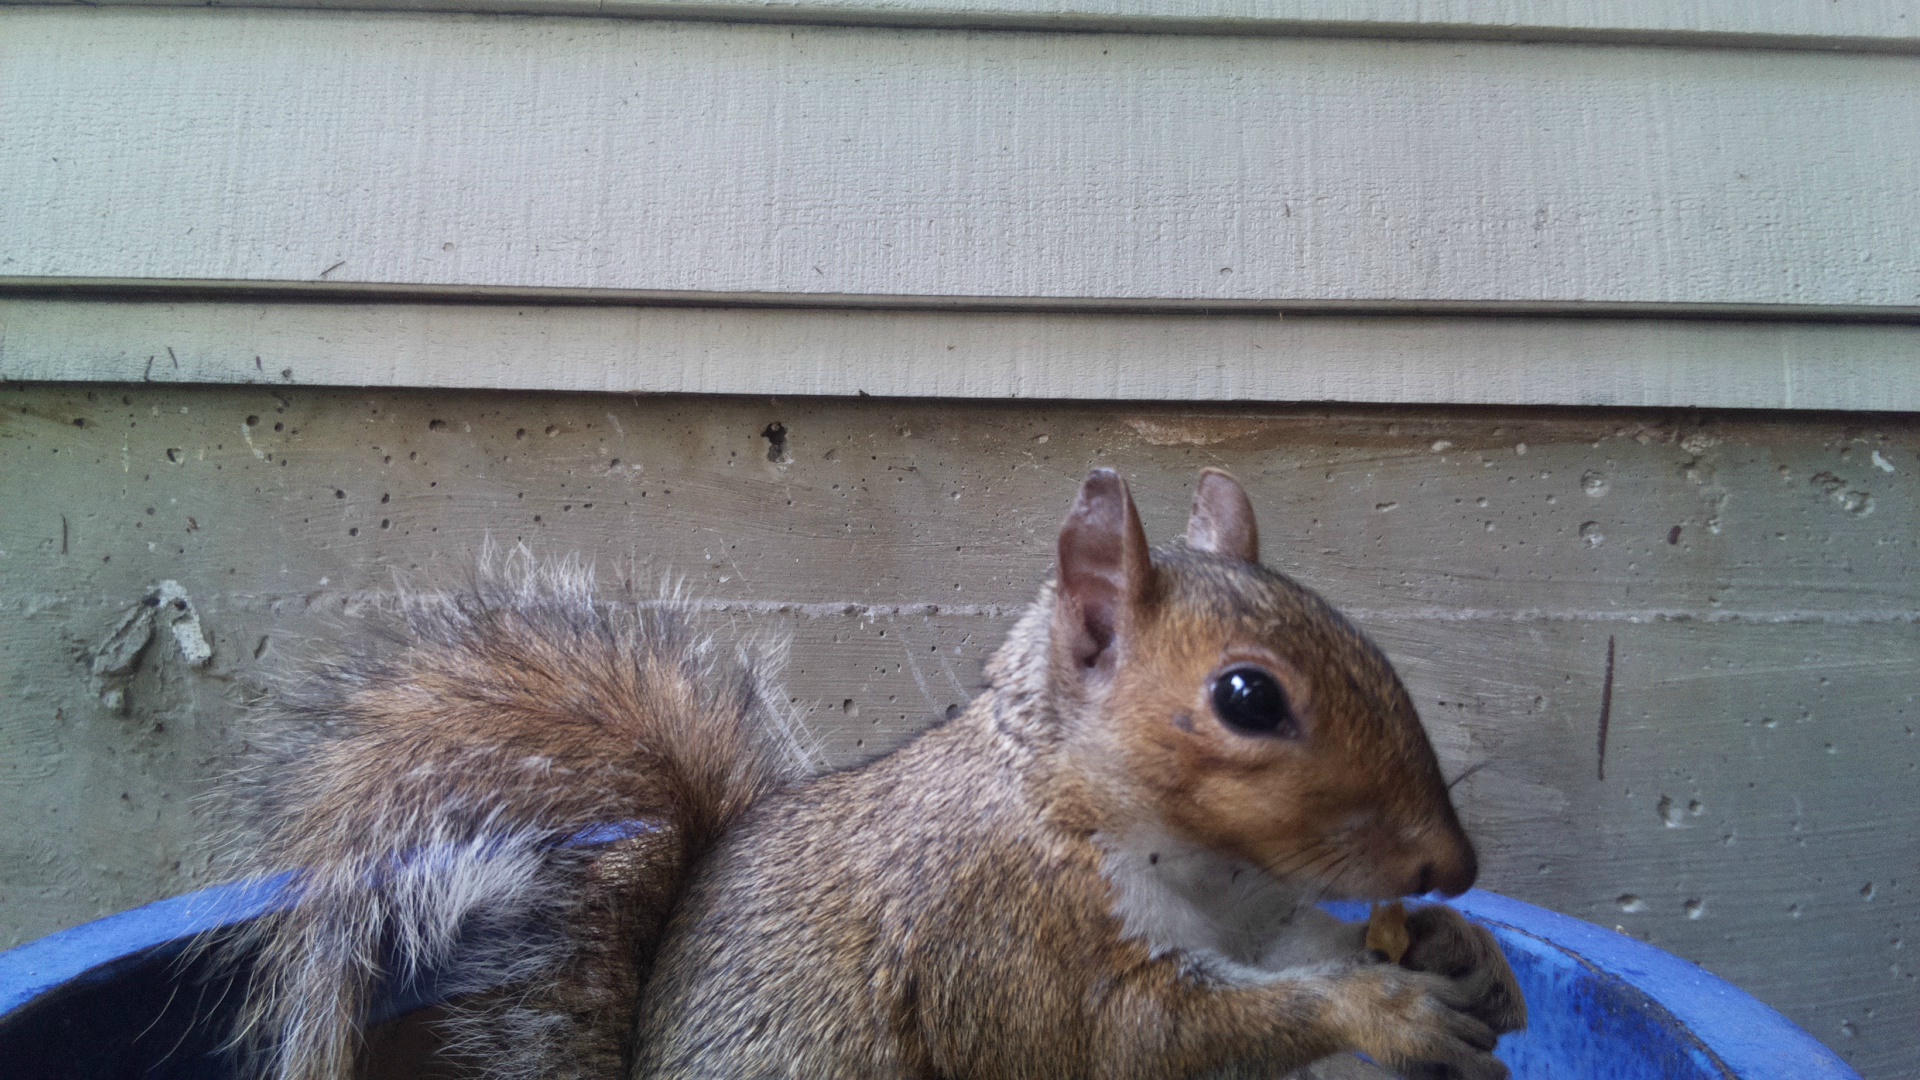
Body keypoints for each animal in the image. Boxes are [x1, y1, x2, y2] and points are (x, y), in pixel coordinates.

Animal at [213, 467, 1526, 1080]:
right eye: (1249, 699)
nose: (1453, 865)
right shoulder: (1000, 937)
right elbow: (1139, 1038)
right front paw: (1384, 1009)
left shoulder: (1252, 914)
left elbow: (1299, 948)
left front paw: (1461, 955)